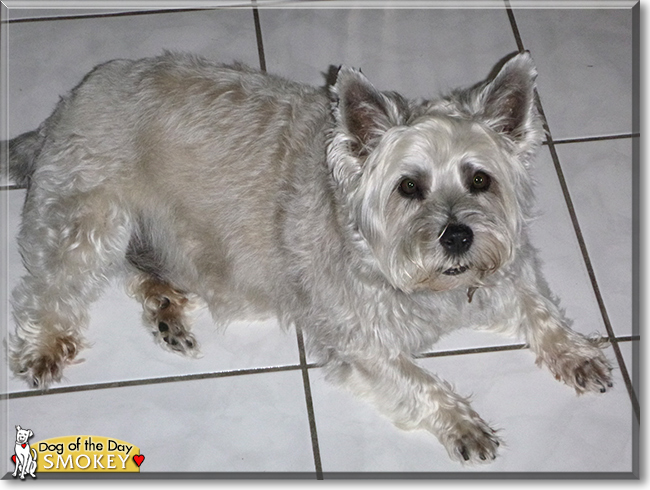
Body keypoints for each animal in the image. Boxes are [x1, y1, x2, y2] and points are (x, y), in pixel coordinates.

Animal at [2, 50, 612, 464]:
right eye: (409, 187)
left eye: (480, 179)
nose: (457, 236)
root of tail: (72, 99)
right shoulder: (360, 343)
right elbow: (419, 381)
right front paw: (463, 425)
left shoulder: (508, 272)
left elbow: (540, 308)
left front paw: (576, 352)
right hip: (89, 221)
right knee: (49, 287)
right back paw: (46, 345)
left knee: (138, 272)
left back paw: (167, 311)